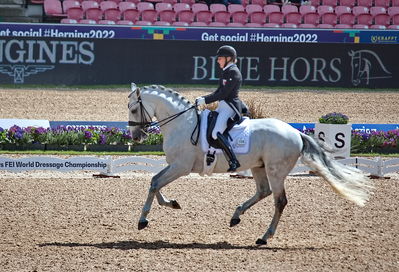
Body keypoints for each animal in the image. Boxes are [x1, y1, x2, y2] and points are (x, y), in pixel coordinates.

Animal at [129, 84, 376, 245]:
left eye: (133, 109)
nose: (136, 137)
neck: (182, 123)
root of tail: (295, 132)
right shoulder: (175, 166)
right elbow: (155, 182)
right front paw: (171, 203)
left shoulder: (181, 167)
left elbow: (155, 183)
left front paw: (143, 220)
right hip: (259, 167)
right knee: (263, 192)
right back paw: (236, 216)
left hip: (275, 171)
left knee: (279, 201)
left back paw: (264, 237)